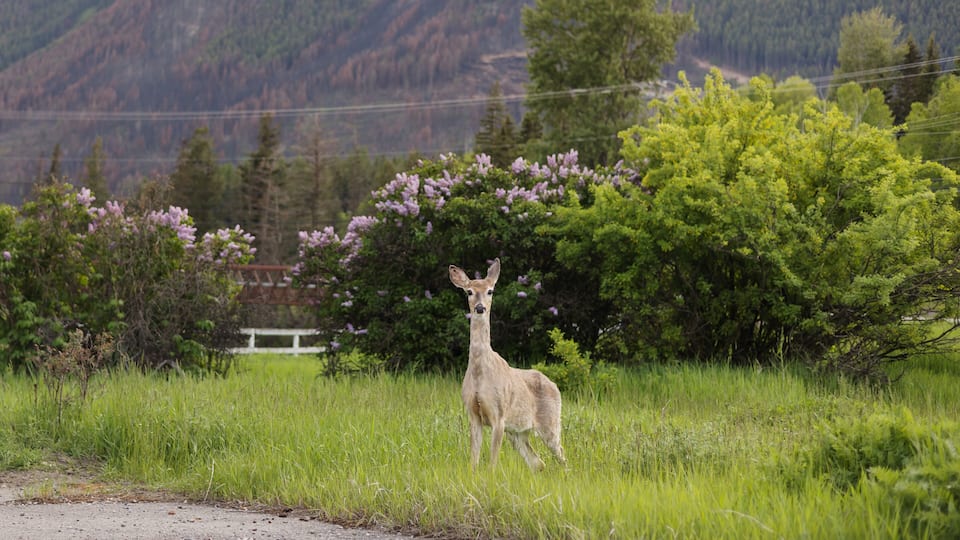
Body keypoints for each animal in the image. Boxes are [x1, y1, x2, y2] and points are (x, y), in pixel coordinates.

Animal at [448, 258, 565, 470]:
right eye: (469, 291)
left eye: (490, 291)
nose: (480, 308)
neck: (479, 374)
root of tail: (554, 385)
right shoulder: (473, 414)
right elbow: (473, 460)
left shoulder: (499, 415)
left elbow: (492, 462)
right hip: (518, 432)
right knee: (538, 462)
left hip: (551, 423)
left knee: (561, 455)